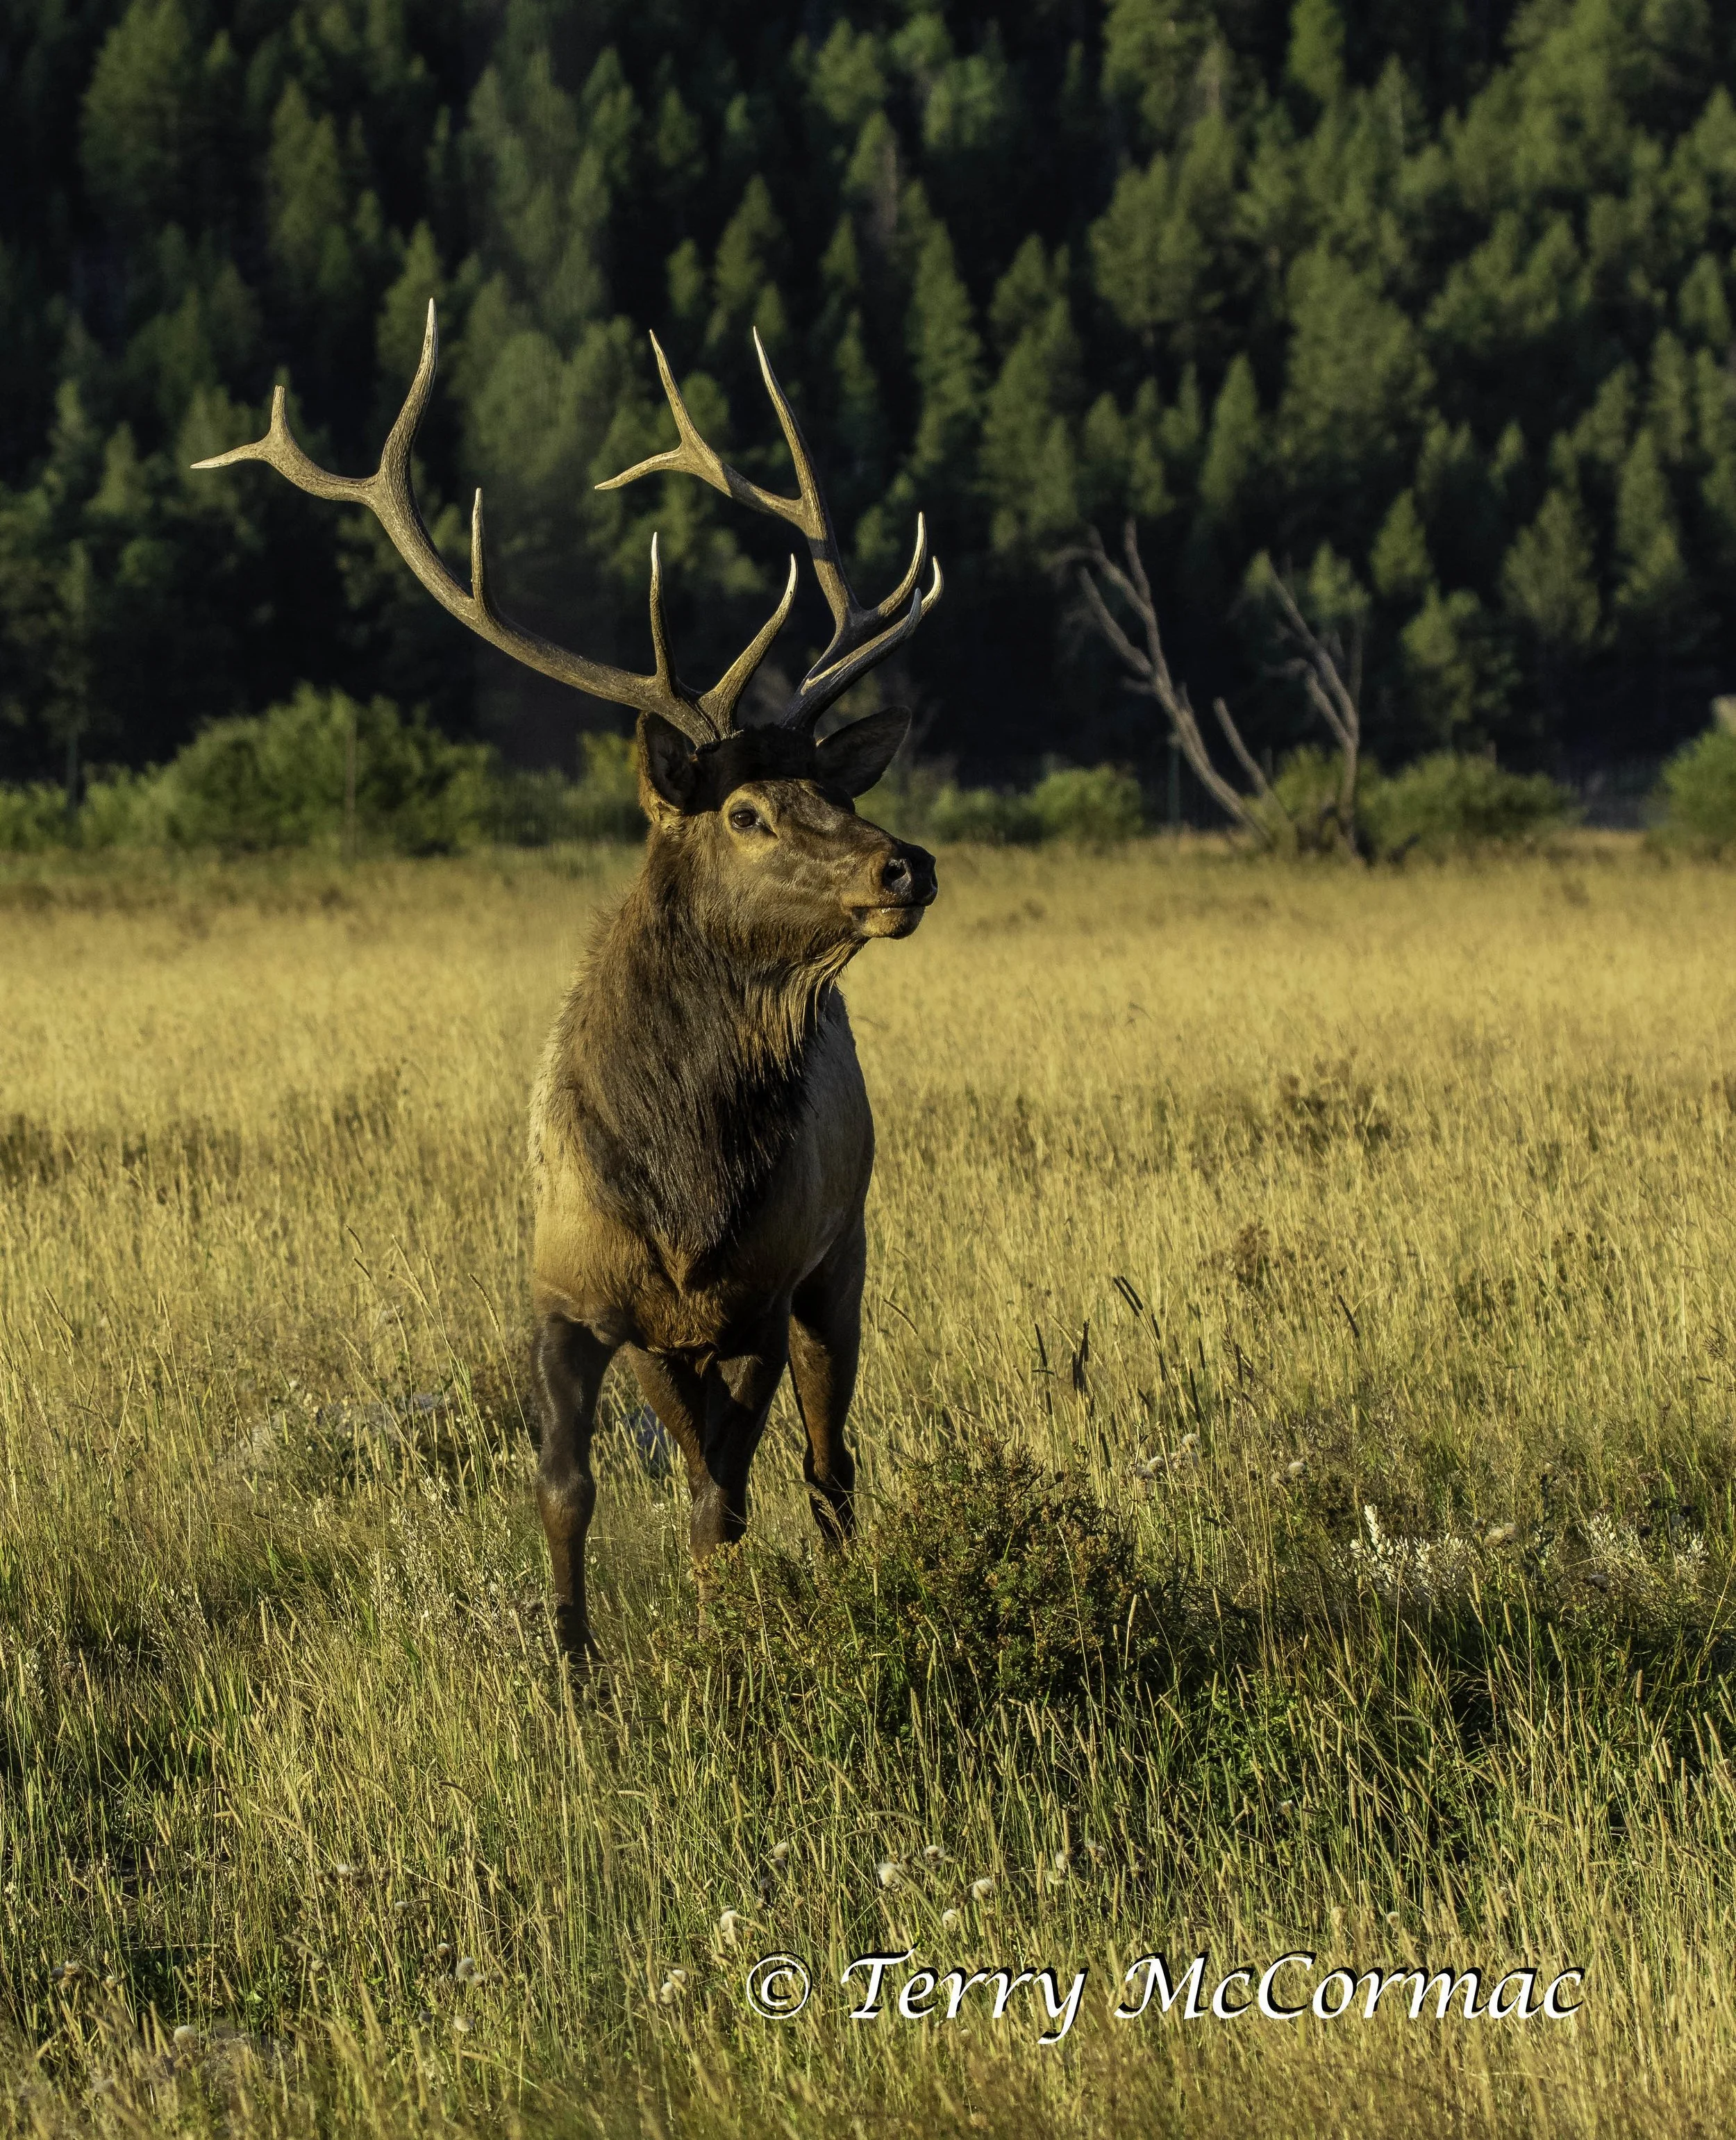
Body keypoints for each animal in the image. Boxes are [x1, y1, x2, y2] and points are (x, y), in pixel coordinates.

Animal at [195, 304, 942, 1662]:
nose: (903, 863)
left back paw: (837, 1576)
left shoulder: (762, 1291)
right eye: (746, 810)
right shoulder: (574, 1295)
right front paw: (574, 1663)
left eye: (835, 786)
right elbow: (567, 1486)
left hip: (845, 1251)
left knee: (825, 1461)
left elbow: (723, 1491)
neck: (685, 1189)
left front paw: (714, 1639)